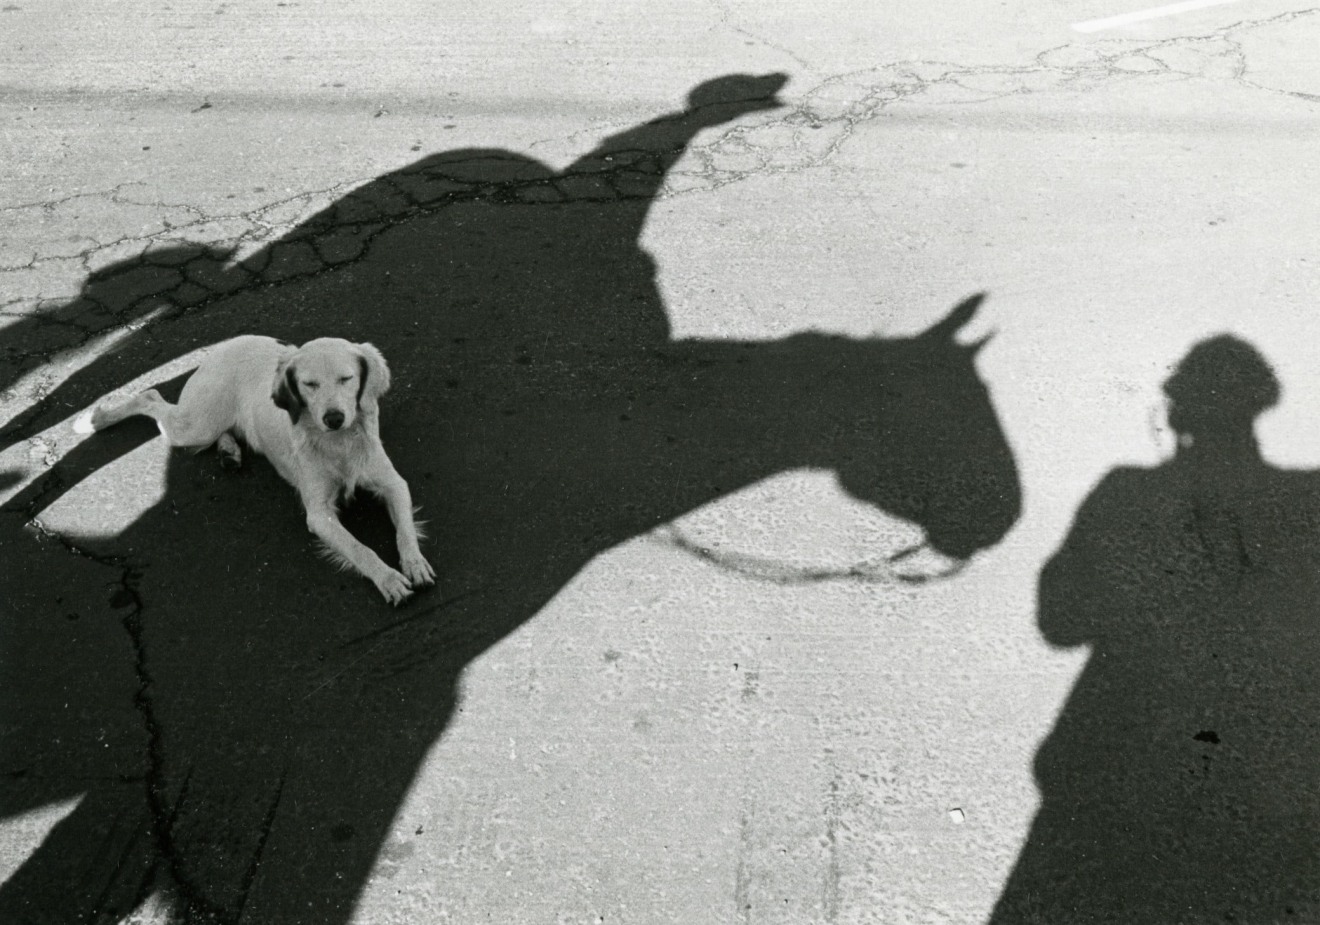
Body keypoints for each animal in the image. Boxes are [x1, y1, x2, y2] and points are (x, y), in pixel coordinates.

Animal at [74, 335, 435, 601]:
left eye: (347, 379)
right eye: (310, 385)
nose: (334, 418)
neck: (339, 444)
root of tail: (219, 349)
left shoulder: (393, 483)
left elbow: (404, 530)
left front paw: (414, 562)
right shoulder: (319, 514)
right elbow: (360, 549)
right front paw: (388, 578)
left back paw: (229, 451)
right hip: (195, 425)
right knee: (149, 396)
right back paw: (95, 420)